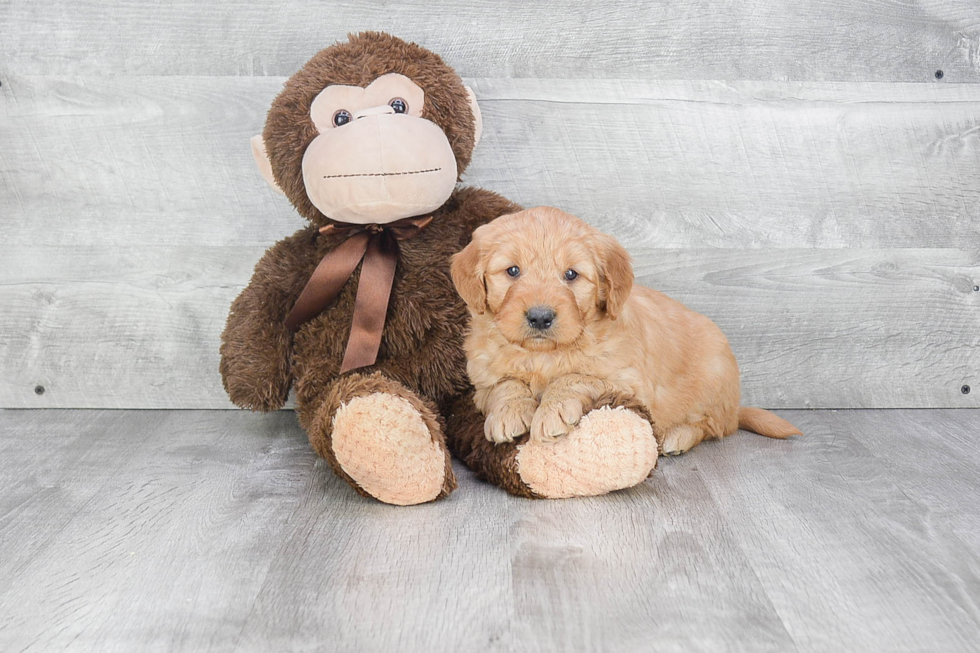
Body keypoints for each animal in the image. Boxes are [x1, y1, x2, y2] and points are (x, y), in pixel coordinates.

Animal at [452, 208, 804, 454]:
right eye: (512, 271)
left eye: (571, 275)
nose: (540, 317)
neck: (544, 356)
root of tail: (735, 408)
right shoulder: (481, 381)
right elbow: (506, 383)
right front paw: (509, 412)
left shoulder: (628, 382)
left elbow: (575, 377)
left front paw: (552, 410)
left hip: (714, 379)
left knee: (712, 427)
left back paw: (678, 436)